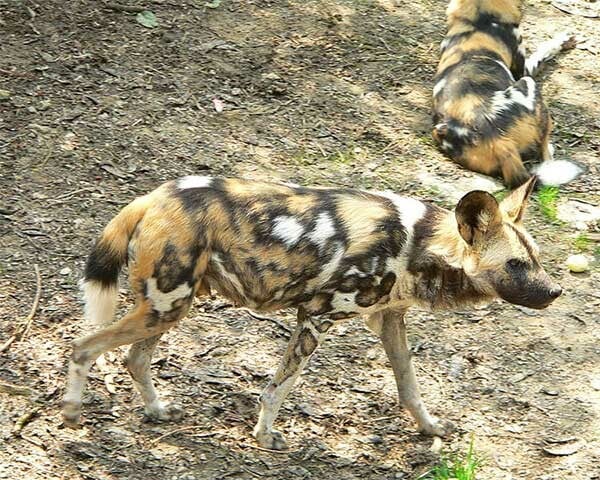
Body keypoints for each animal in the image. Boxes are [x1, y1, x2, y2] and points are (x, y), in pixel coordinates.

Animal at [63, 176, 560, 450]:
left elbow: (410, 387)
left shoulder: (389, 320)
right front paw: (264, 437)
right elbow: (279, 387)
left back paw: (157, 410)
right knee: (83, 346)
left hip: (170, 307)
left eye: (536, 258)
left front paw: (430, 428)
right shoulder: (314, 317)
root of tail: (156, 196)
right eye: (515, 265)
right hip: (167, 305)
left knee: (135, 358)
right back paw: (71, 412)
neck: (420, 244)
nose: (555, 291)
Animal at [432, 0, 580, 188]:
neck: (481, 17)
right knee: (545, 151)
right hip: (528, 84)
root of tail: (499, 142)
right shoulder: (524, 70)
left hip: (438, 130)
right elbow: (543, 50)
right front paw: (562, 41)